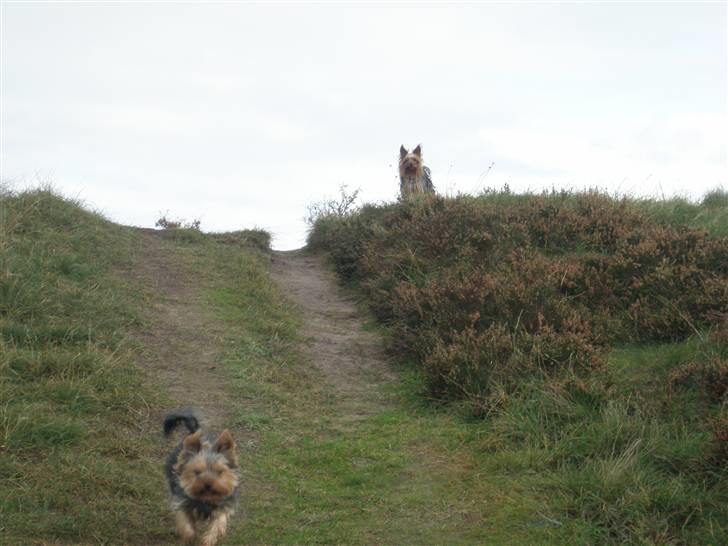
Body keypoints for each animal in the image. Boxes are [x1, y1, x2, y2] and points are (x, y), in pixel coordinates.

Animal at [164, 408, 240, 544]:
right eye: (197, 472)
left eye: (219, 471)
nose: (208, 484)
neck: (206, 499)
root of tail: (194, 432)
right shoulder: (183, 503)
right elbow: (185, 522)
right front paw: (190, 537)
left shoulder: (222, 508)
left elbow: (217, 524)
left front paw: (208, 540)